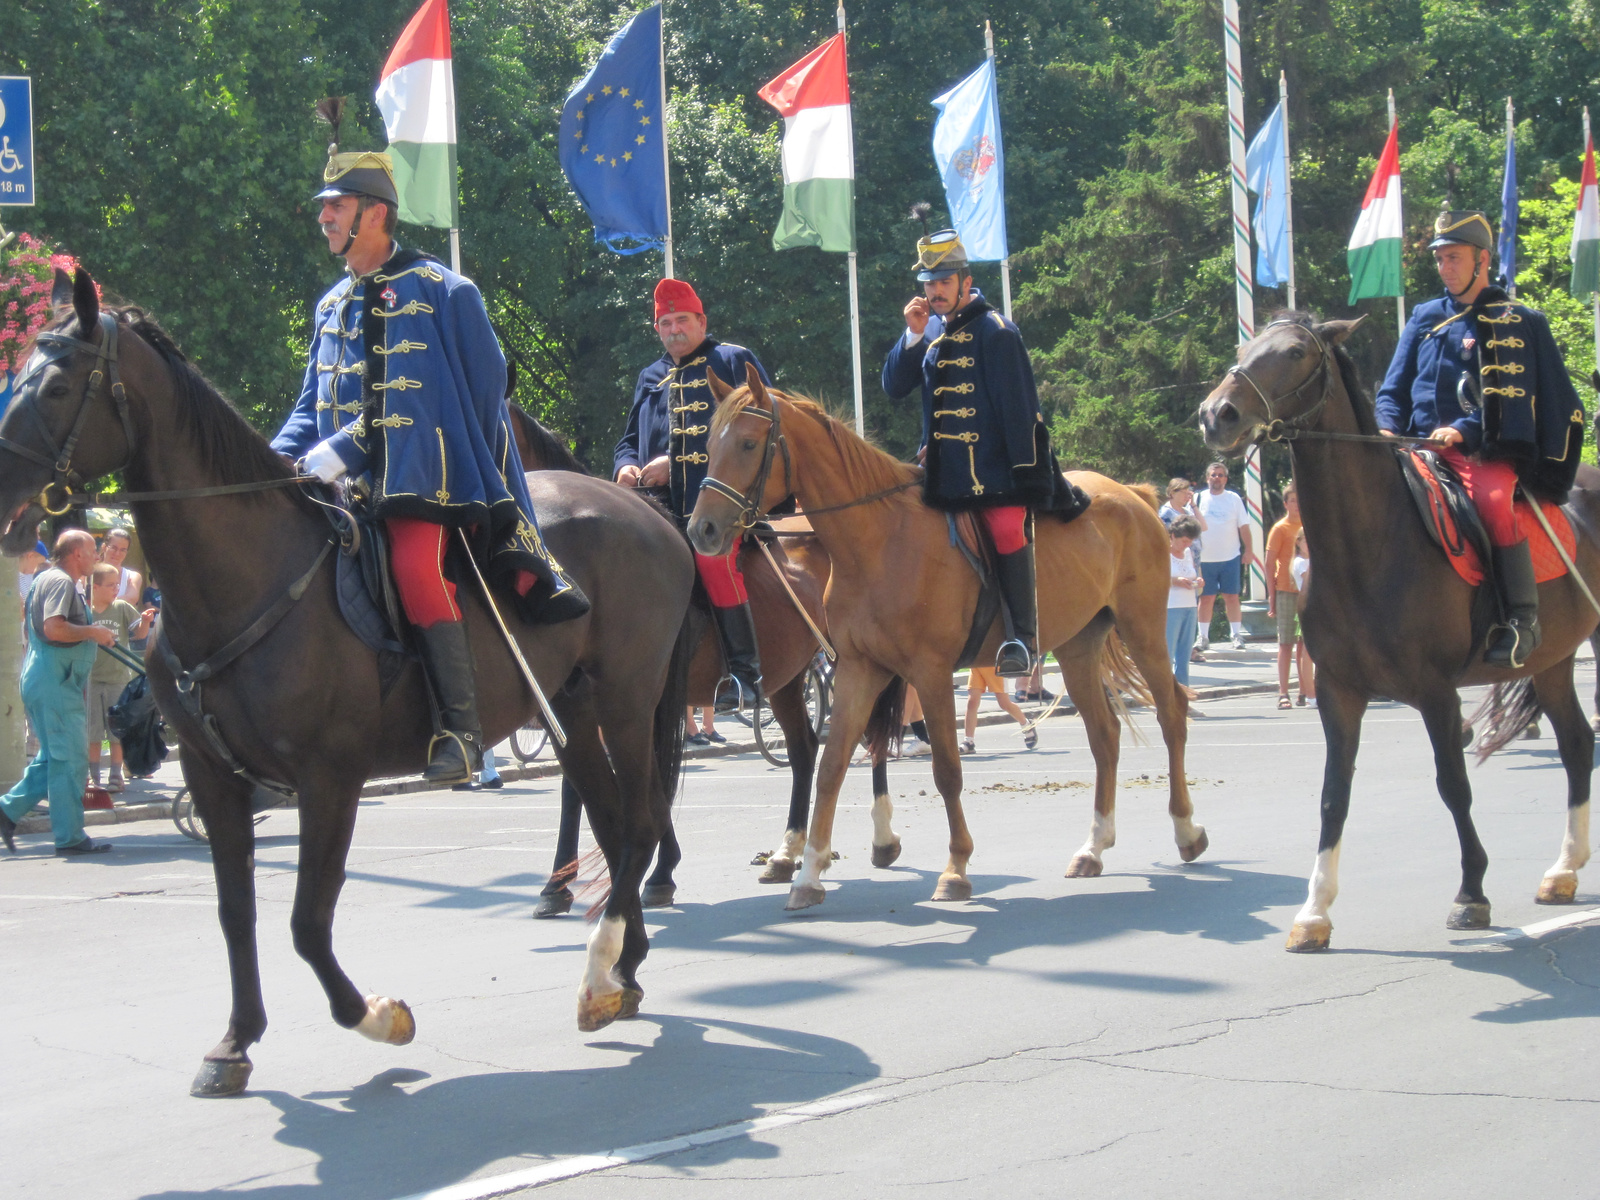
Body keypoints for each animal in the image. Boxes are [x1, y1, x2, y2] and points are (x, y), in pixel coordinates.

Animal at [3, 275, 697, 1100]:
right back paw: (620, 968)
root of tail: (649, 512)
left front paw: (376, 1014)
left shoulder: (329, 775)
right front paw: (235, 1041)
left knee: (643, 824)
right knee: (615, 823)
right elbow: (236, 912)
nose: (6, 503)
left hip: (626, 700)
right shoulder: (212, 777)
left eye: (58, 384)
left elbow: (307, 921)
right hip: (572, 707)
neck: (244, 576)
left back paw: (598, 970)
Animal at [684, 371, 1203, 915]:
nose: (701, 529)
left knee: (1172, 712)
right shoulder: (859, 669)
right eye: (708, 446)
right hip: (1079, 645)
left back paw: (1187, 830)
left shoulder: (930, 672)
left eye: (747, 443)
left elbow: (947, 769)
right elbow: (831, 766)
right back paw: (1094, 847)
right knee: (1104, 735)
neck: (875, 541)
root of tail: (1131, 493)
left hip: (1143, 629)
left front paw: (955, 868)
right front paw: (807, 875)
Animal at [1203, 315, 1600, 953]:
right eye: (1246, 347)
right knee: (1577, 744)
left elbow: (1453, 784)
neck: (1366, 546)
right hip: (1555, 658)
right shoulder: (1338, 693)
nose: (1217, 414)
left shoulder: (1437, 694)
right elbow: (1333, 794)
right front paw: (1314, 912)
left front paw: (1471, 894)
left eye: (1294, 353)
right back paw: (1563, 871)